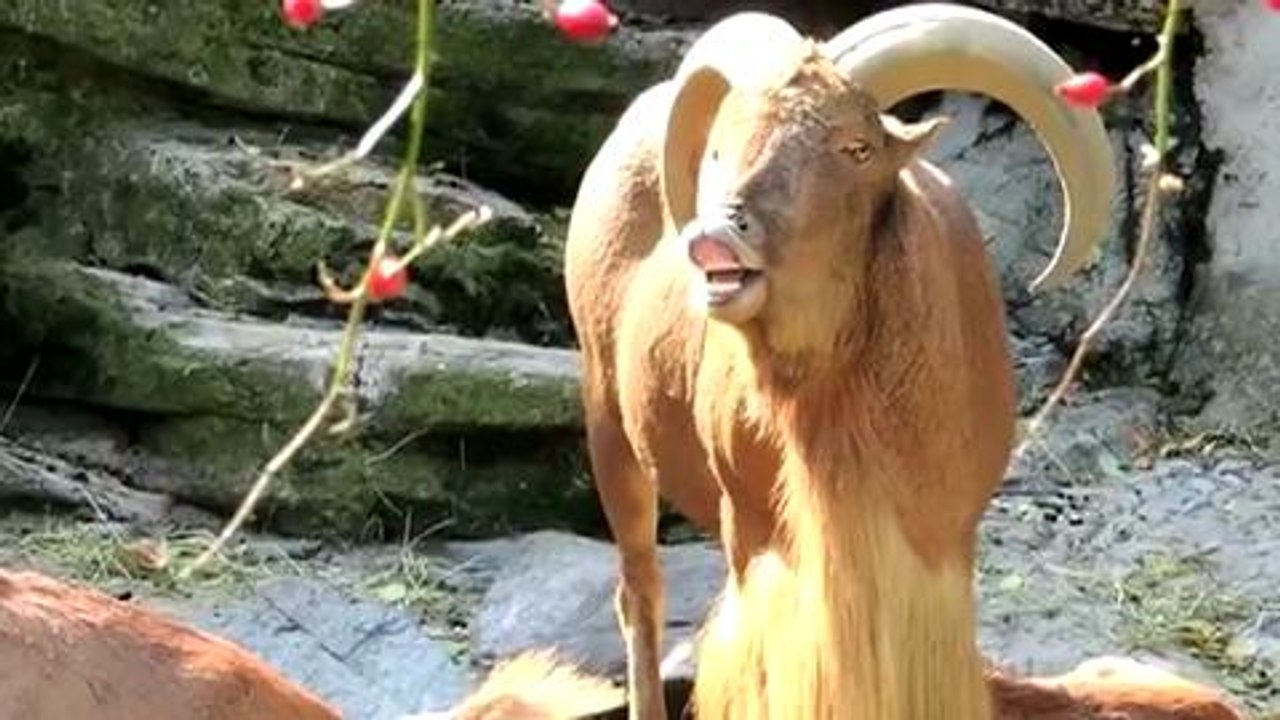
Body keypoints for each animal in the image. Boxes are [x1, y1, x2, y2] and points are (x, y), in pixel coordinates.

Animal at [562, 5, 1117, 720]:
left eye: (856, 148)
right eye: (720, 146)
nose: (715, 236)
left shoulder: (940, 546)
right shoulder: (759, 540)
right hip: (609, 424)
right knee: (639, 593)